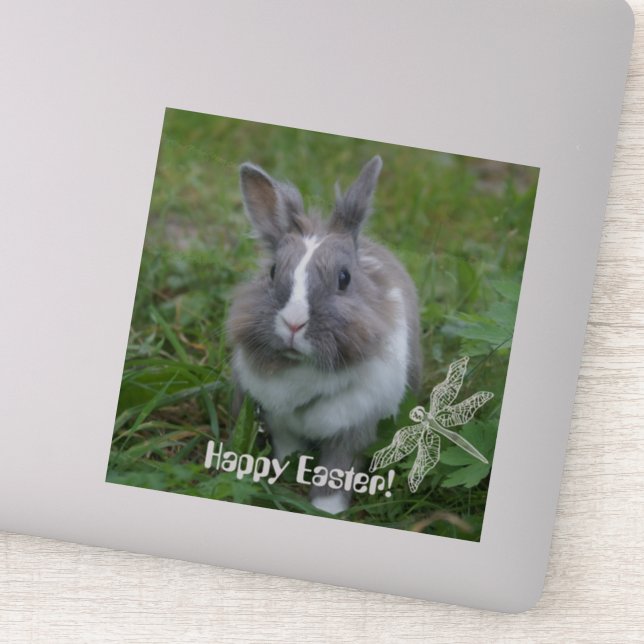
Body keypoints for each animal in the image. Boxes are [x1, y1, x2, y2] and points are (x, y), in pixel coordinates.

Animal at [227, 155, 421, 514]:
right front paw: (286, 468)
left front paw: (326, 510)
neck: (304, 370)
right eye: (272, 272)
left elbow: (337, 469)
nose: (293, 324)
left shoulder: (355, 428)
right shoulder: (279, 420)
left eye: (344, 278)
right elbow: (288, 447)